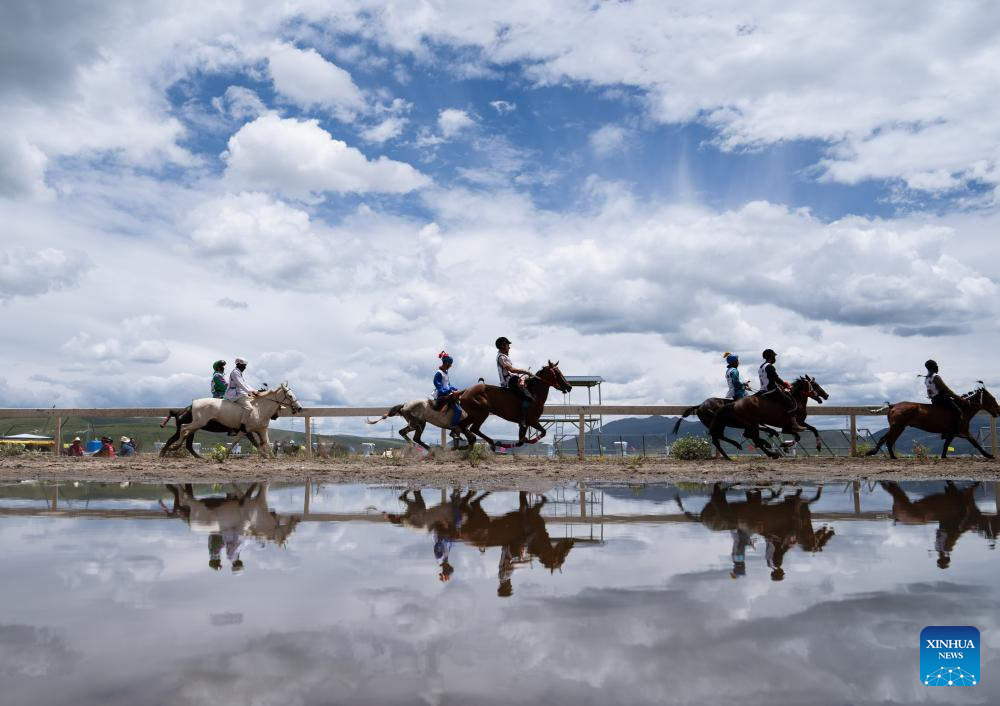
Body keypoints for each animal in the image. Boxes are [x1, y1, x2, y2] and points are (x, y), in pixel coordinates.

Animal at [864, 382, 996, 460]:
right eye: (992, 398)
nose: (998, 411)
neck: (963, 409)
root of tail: (893, 405)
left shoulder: (953, 433)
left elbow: (946, 445)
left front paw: (943, 456)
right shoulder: (962, 431)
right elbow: (975, 443)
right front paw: (988, 455)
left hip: (896, 427)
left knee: (884, 439)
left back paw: (878, 453)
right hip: (898, 427)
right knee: (888, 441)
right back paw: (889, 456)